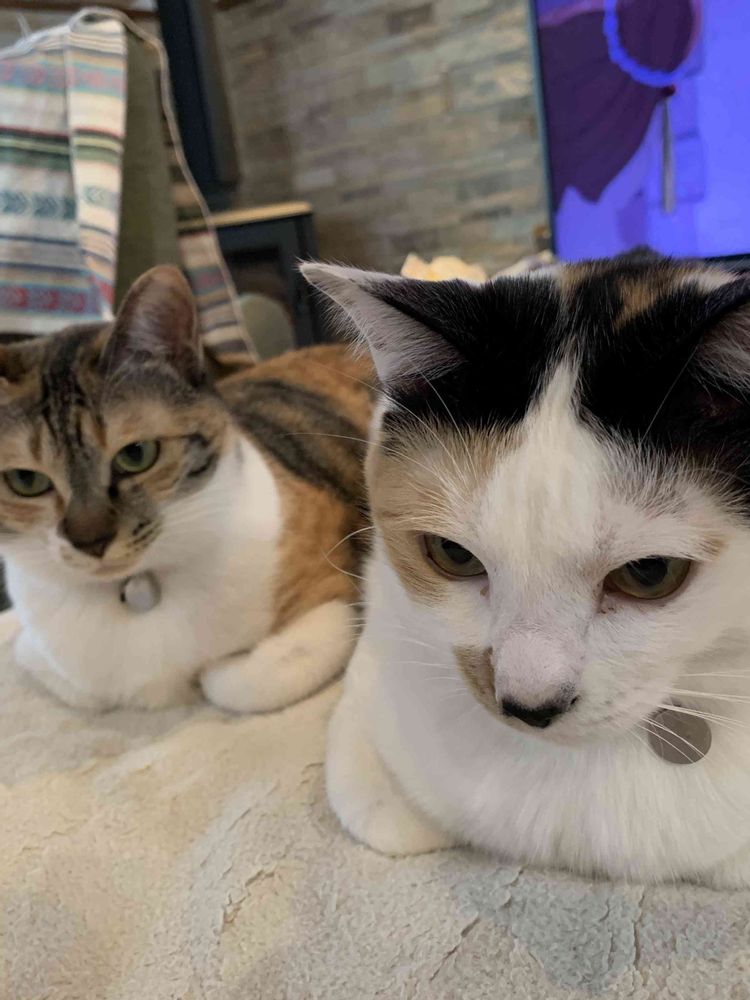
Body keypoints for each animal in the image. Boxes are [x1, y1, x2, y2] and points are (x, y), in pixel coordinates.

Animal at [2, 265, 373, 712]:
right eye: (26, 481)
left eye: (137, 454)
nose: (90, 541)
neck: (138, 588)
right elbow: (63, 676)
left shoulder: (338, 598)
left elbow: (240, 682)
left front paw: (208, 675)